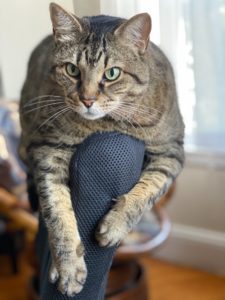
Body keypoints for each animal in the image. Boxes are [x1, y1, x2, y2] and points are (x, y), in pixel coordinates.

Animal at [18, 2, 185, 296]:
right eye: (72, 70)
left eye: (112, 73)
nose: (87, 99)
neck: (108, 123)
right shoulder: (47, 148)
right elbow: (56, 211)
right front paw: (68, 267)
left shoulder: (172, 149)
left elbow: (151, 188)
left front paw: (117, 224)